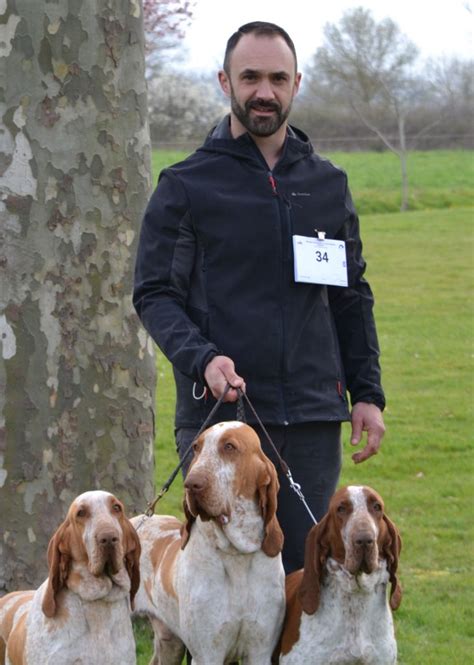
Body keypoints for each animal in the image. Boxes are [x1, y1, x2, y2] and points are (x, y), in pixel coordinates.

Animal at [132, 420, 286, 664]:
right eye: (196, 448)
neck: (235, 555)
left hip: (170, 643)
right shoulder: (207, 654)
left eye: (230, 447)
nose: (191, 484)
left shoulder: (259, 651)